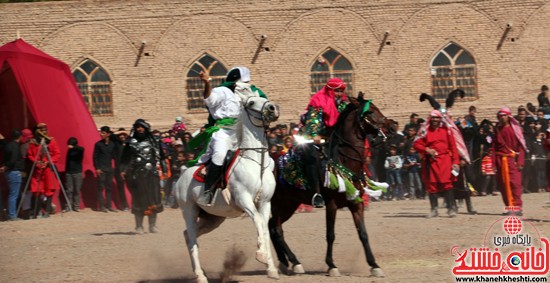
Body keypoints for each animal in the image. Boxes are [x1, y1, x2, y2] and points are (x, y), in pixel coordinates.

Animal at [177, 93, 280, 283]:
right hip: (189, 211)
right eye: (251, 102)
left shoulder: (265, 203)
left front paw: (271, 269)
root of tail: (182, 174)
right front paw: (261, 255)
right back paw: (200, 276)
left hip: (213, 219)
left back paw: (200, 271)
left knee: (188, 235)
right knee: (192, 236)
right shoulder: (244, 200)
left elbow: (264, 228)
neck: (256, 163)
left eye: (263, 97)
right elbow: (258, 222)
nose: (273, 108)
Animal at [270, 92, 396, 278]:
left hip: (289, 204)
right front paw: (331, 265)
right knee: (277, 230)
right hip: (276, 203)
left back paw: (286, 263)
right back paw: (294, 262)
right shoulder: (331, 203)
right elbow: (330, 234)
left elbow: (363, 234)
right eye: (370, 111)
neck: (344, 159)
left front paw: (374, 265)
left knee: (272, 227)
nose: (393, 126)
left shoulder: (356, 203)